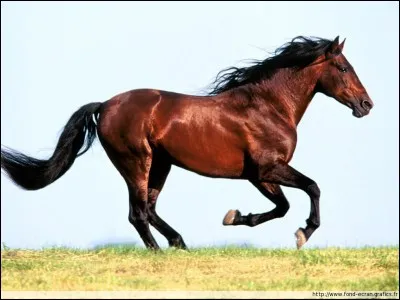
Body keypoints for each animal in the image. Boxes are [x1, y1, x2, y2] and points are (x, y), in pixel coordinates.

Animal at [0, 35, 376, 251]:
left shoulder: (259, 176)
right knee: (138, 213)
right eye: (343, 67)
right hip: (136, 162)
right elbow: (311, 187)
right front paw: (303, 233)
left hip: (161, 165)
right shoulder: (268, 168)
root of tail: (105, 105)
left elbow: (282, 206)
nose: (366, 105)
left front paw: (235, 217)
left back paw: (180, 243)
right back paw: (159, 252)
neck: (268, 105)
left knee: (150, 209)